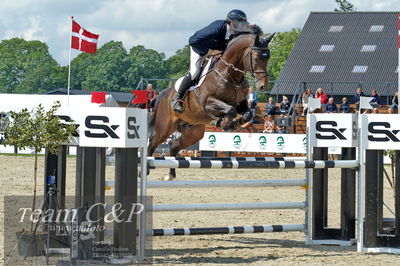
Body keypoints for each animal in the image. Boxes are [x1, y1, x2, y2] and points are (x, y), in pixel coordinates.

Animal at [148, 26, 274, 180]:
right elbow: (230, 110)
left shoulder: (241, 103)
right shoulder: (208, 103)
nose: (263, 86)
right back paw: (145, 169)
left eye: (268, 57)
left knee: (173, 145)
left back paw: (171, 175)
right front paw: (224, 122)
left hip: (193, 132)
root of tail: (164, 94)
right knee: (152, 143)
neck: (229, 74)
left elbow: (246, 114)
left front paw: (231, 124)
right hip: (165, 128)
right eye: (256, 58)